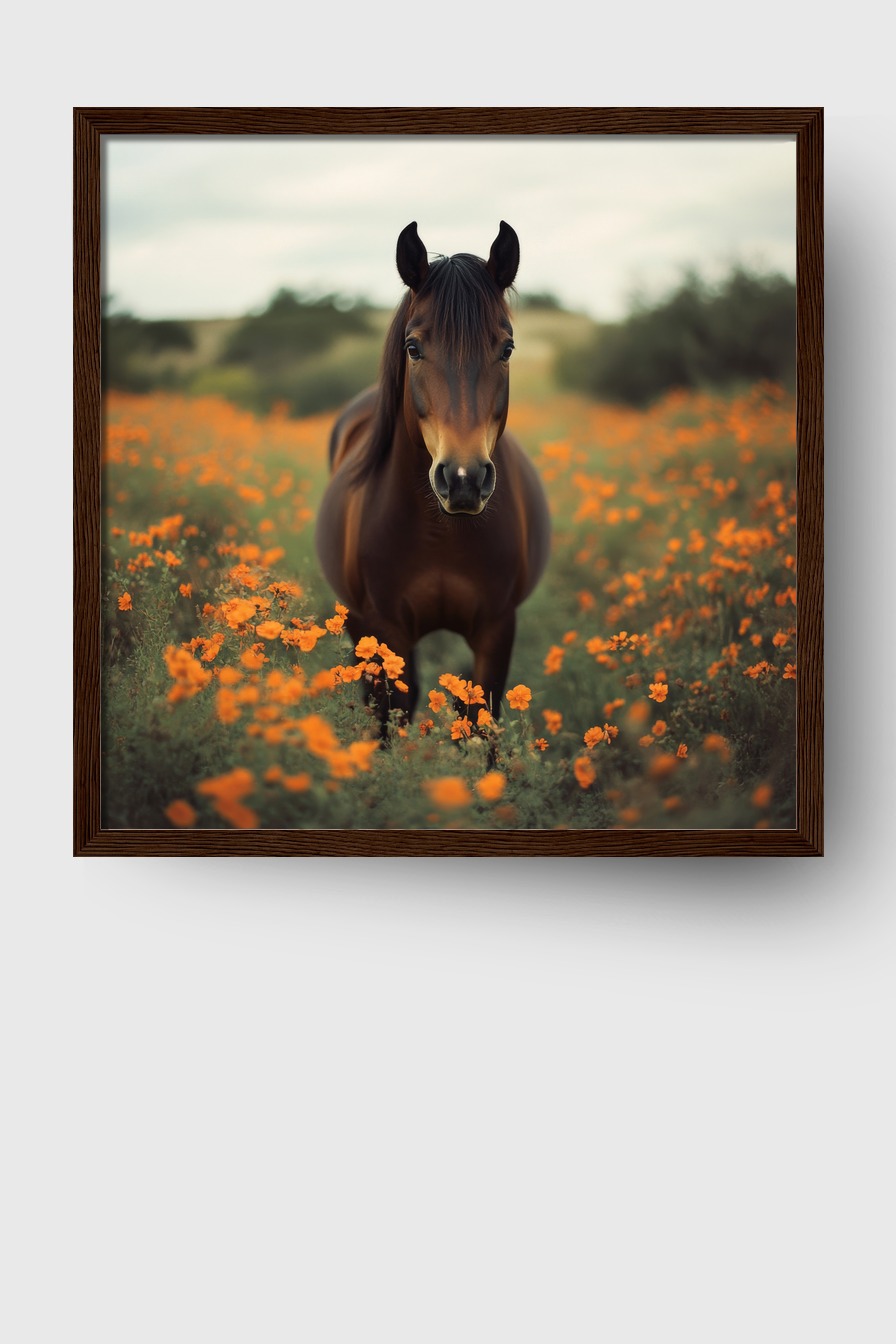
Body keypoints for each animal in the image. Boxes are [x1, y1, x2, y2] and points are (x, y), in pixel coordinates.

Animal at [314, 220, 551, 729]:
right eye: (413, 347)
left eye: (507, 348)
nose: (463, 480)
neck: (442, 533)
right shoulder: (385, 631)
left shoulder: (496, 630)